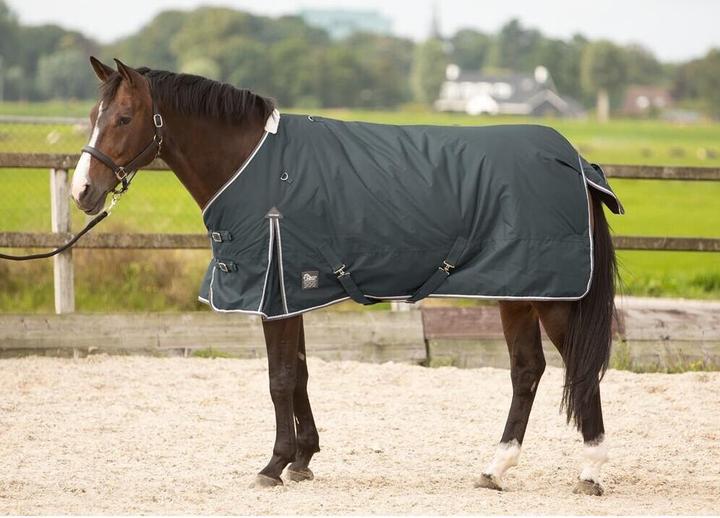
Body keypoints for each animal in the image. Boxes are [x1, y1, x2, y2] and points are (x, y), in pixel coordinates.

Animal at [70, 57, 621, 496]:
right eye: (94, 117)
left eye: (123, 118)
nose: (82, 193)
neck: (255, 166)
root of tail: (574, 162)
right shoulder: (291, 291)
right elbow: (299, 375)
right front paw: (302, 459)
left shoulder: (276, 293)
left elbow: (279, 379)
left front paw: (273, 465)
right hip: (518, 291)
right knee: (527, 370)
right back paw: (495, 468)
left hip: (551, 296)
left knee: (577, 367)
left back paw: (590, 471)